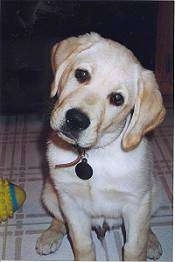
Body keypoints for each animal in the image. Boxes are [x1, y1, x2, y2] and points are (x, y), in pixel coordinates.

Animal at [35, 32, 165, 260]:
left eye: (117, 98)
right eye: (81, 74)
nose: (76, 120)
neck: (94, 155)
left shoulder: (136, 204)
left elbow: (134, 247)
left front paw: (142, 246)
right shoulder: (70, 202)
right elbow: (82, 244)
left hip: (154, 193)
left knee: (146, 226)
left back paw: (151, 241)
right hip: (50, 194)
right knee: (59, 219)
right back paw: (50, 235)